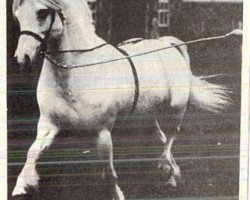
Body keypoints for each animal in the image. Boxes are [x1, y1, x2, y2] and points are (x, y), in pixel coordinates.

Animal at [12, 0, 229, 199]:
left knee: (171, 136)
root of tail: (167, 45)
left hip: (175, 111)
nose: (22, 59)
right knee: (162, 137)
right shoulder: (49, 124)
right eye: (17, 15)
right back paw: (172, 174)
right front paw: (22, 186)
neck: (76, 70)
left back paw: (166, 169)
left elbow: (109, 175)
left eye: (42, 12)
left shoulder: (102, 132)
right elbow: (32, 152)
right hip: (147, 115)